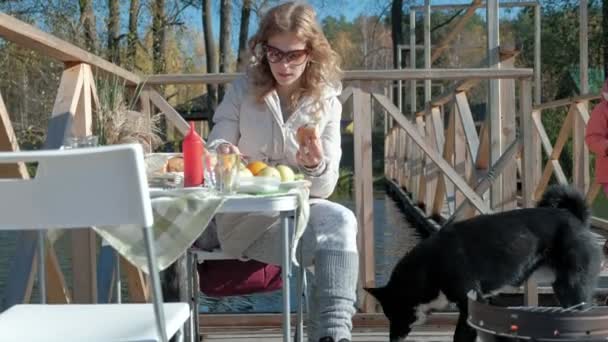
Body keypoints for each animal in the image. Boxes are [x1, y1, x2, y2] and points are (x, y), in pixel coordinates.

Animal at [366, 186, 604, 340]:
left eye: (393, 313)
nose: (393, 339)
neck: (430, 265)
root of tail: (576, 218)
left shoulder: (470, 304)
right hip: (562, 289)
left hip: (573, 287)